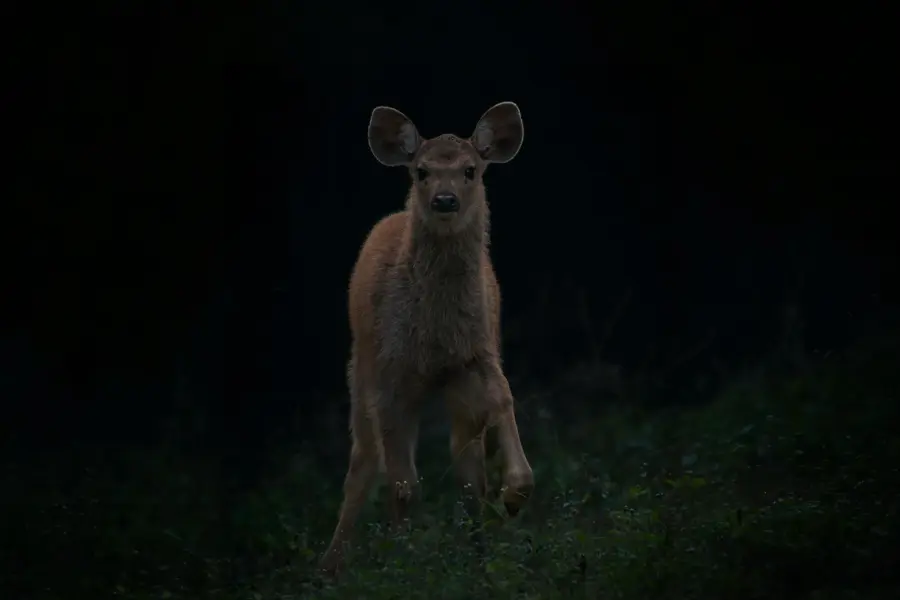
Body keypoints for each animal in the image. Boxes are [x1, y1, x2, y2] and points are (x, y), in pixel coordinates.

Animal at [318, 102, 534, 576]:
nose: (445, 200)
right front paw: (403, 565)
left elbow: (504, 403)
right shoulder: (389, 374)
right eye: (421, 171)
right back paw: (331, 566)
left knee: (467, 468)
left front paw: (514, 495)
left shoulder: (478, 354)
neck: (435, 336)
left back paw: (480, 555)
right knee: (363, 463)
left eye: (471, 170)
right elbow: (402, 487)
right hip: (361, 366)